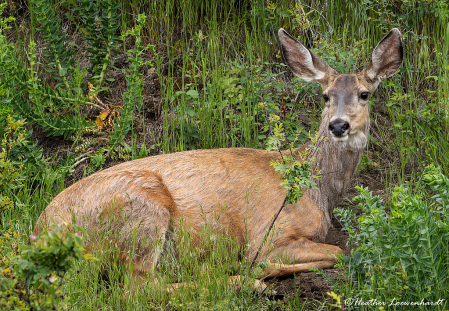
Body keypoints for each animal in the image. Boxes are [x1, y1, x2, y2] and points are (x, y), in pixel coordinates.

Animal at [36, 28, 402, 288]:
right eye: (326, 96)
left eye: (364, 94)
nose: (338, 125)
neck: (316, 188)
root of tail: (44, 234)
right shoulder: (269, 232)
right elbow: (337, 252)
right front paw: (256, 268)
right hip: (142, 210)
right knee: (139, 289)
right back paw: (242, 281)